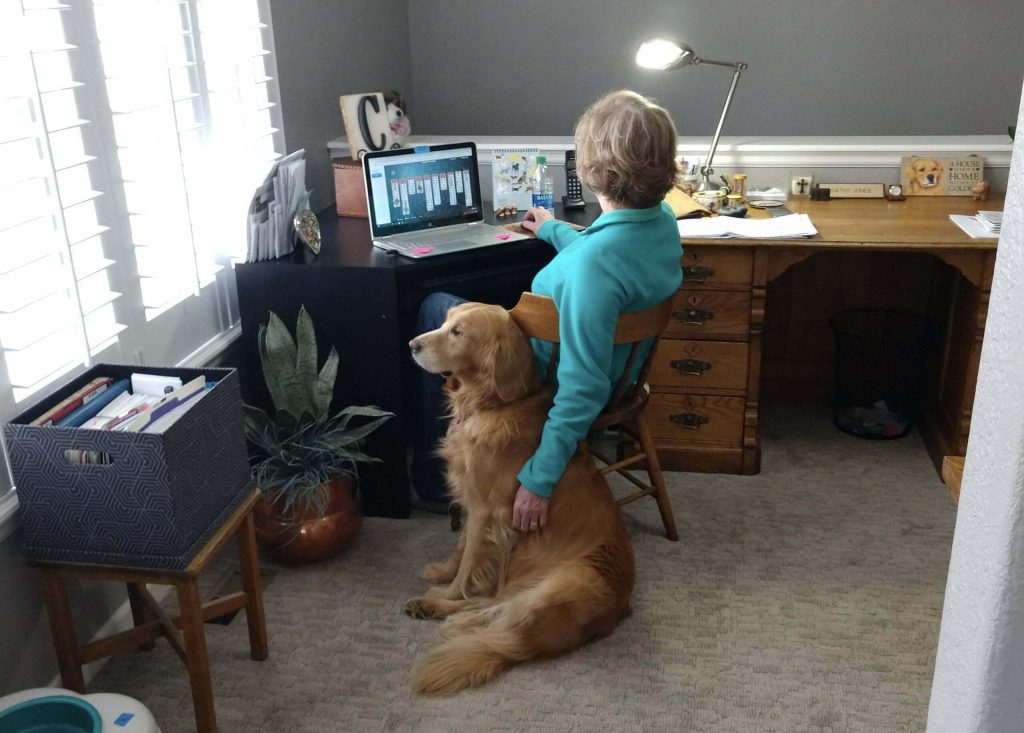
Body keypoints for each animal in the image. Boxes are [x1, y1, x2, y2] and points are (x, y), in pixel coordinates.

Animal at [405, 303, 630, 692]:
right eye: (445, 323)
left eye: (458, 332)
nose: (412, 345)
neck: (493, 403)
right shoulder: (471, 501)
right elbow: (461, 549)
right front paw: (442, 571)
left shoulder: (486, 511)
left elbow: (468, 565)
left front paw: (449, 590)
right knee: (495, 603)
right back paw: (434, 610)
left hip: (565, 583)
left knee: (505, 617)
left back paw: (448, 614)